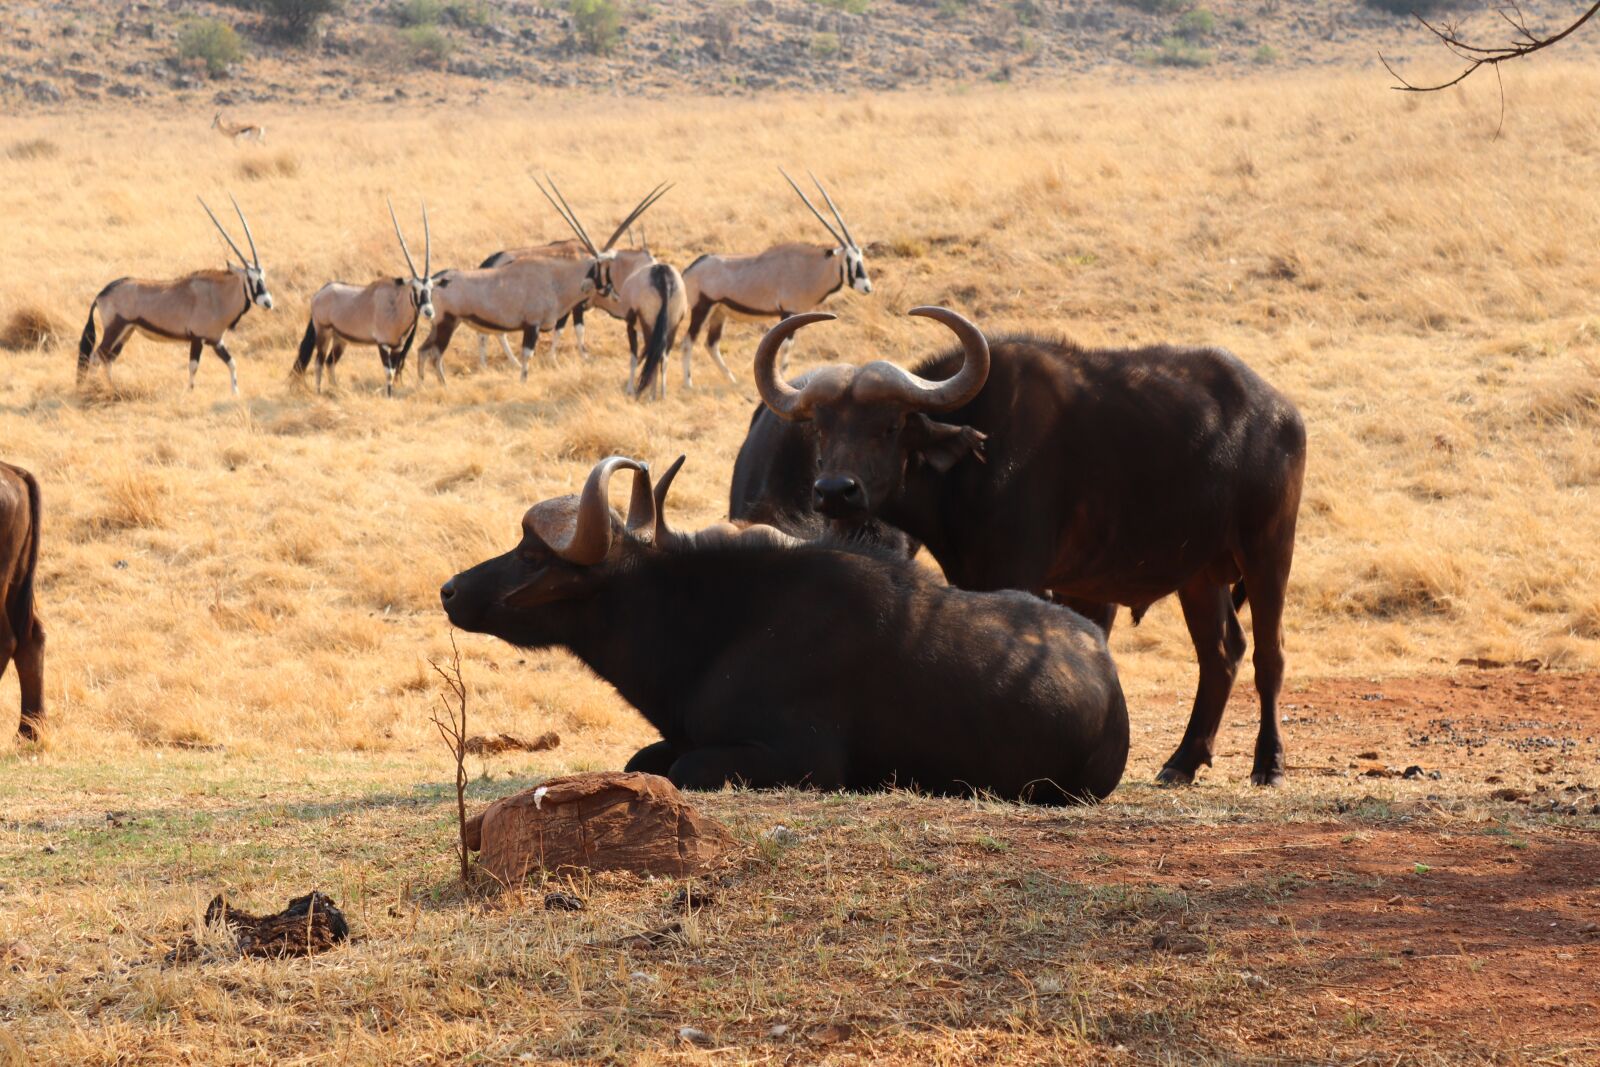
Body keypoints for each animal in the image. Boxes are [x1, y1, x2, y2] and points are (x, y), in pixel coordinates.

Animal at [441, 455, 1129, 804]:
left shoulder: (801, 759)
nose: (450, 592)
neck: (718, 625)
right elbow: (645, 757)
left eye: (535, 556)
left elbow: (681, 766)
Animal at [733, 307, 1307, 786]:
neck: (974, 462)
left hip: (1268, 550)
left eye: (890, 426)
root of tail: (1282, 412)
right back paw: (1182, 762)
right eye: (821, 428)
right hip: (1200, 574)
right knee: (1221, 654)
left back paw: (1269, 765)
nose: (835, 491)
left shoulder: (1019, 571)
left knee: (1269, 656)